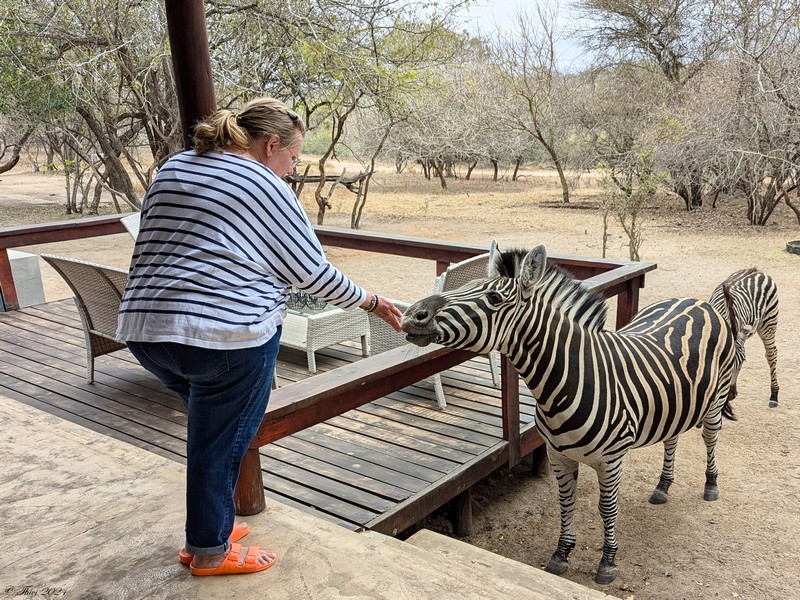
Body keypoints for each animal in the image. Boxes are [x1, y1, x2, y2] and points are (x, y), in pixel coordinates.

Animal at [404, 246, 736, 584]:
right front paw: (561, 554)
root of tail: (695, 301)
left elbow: (607, 508)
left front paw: (607, 562)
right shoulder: (558, 455)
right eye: (464, 287)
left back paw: (710, 486)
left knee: (710, 438)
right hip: (676, 402)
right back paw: (662, 487)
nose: (411, 315)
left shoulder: (611, 460)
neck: (564, 384)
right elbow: (565, 503)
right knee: (672, 438)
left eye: (494, 298)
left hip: (716, 398)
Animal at [708, 268, 780, 418]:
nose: (731, 395)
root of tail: (756, 270)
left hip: (769, 323)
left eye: (743, 362)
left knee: (771, 354)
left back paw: (774, 395)